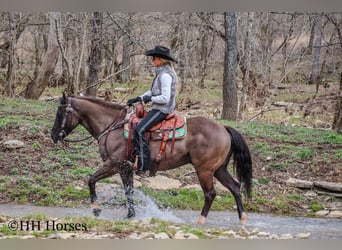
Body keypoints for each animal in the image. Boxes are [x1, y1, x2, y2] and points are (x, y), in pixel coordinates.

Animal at [51, 93, 254, 226]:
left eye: (60, 113)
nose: (53, 135)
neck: (111, 126)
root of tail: (223, 128)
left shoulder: (114, 165)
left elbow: (91, 180)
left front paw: (96, 209)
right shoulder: (126, 168)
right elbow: (129, 190)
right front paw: (130, 215)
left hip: (204, 170)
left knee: (210, 193)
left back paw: (201, 220)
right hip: (219, 169)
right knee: (235, 187)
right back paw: (243, 218)